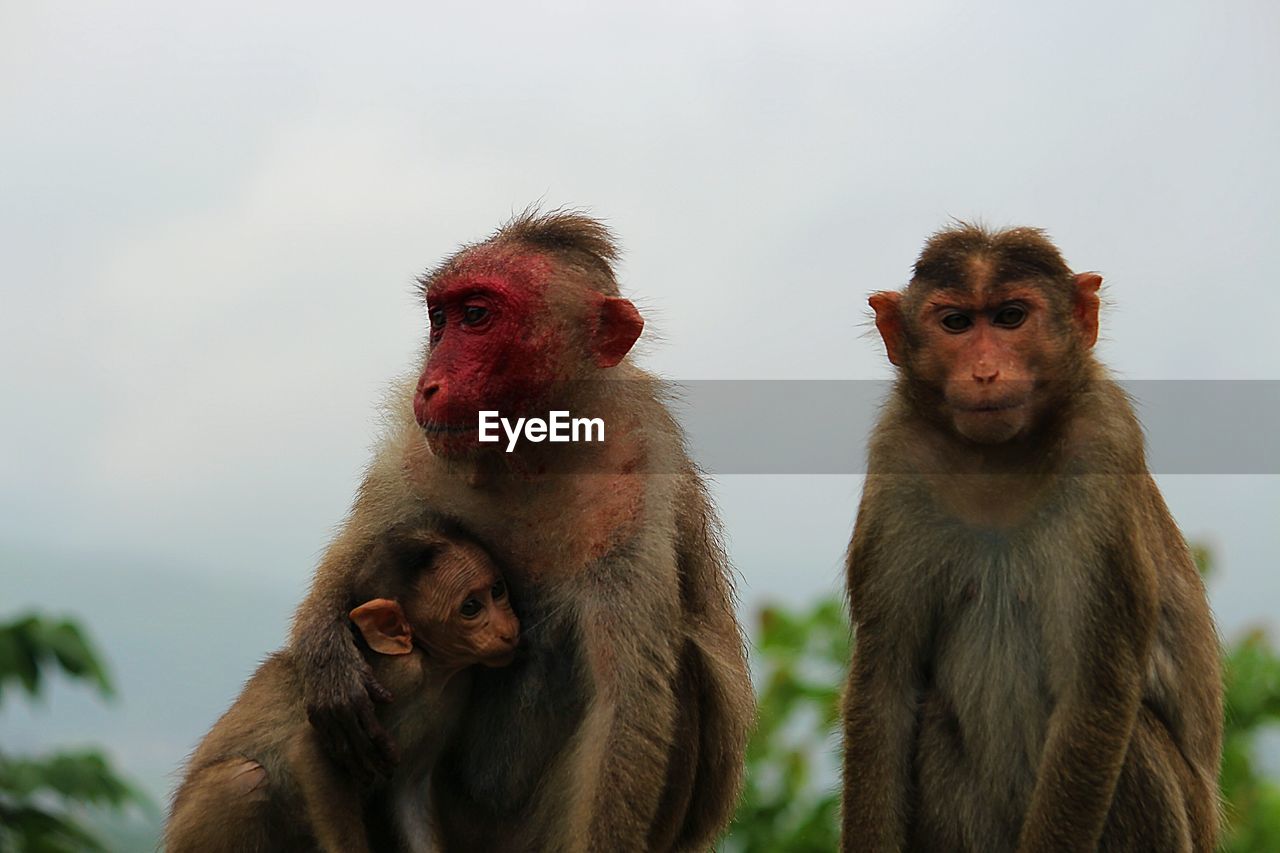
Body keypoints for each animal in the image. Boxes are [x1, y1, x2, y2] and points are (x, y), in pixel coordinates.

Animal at [166, 525, 519, 850]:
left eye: (498, 590)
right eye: (471, 607)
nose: (509, 629)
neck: (432, 668)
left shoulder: (453, 694)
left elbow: (410, 791)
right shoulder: (393, 677)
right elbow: (311, 749)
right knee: (243, 780)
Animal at [291, 207, 752, 850]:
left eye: (477, 316)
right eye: (439, 318)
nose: (428, 384)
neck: (530, 454)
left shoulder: (634, 481)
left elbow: (626, 702)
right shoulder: (418, 449)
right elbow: (362, 556)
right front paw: (328, 659)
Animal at [844, 224, 1223, 850]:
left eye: (1011, 317)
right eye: (956, 323)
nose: (985, 372)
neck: (998, 462)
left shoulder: (1104, 441)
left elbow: (1094, 696)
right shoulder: (899, 454)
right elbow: (887, 690)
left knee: (1134, 742)